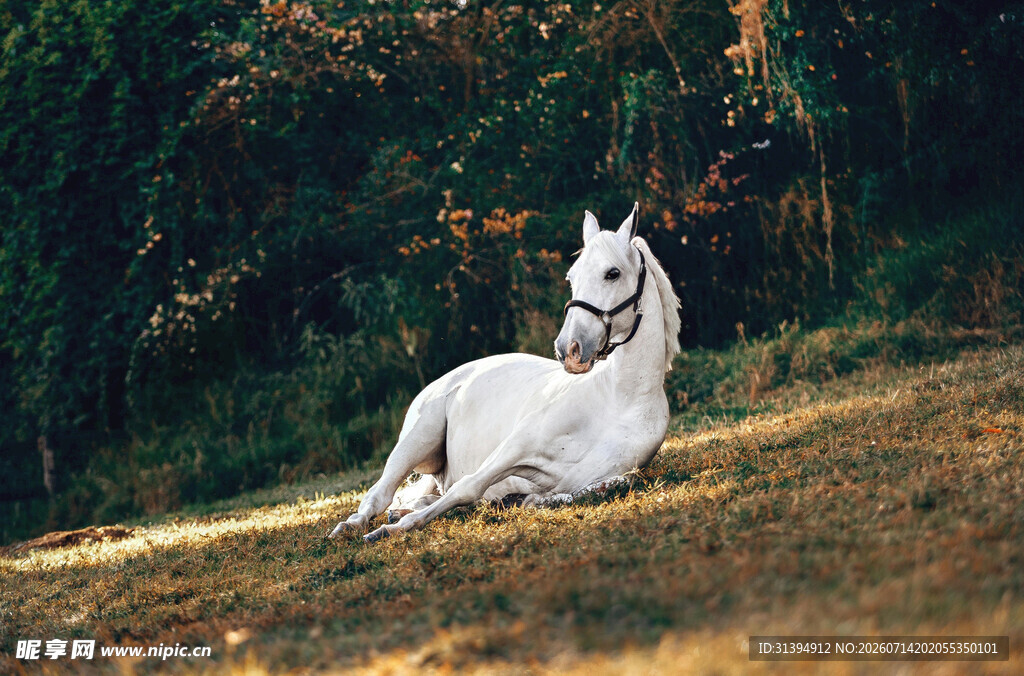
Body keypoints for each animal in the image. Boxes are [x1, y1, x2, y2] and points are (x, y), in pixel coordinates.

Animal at [328, 203, 681, 543]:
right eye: (572, 277)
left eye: (612, 273)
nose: (569, 348)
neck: (619, 400)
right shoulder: (515, 447)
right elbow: (468, 486)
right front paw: (394, 530)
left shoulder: (601, 478)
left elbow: (588, 490)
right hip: (415, 442)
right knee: (380, 494)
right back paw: (352, 526)